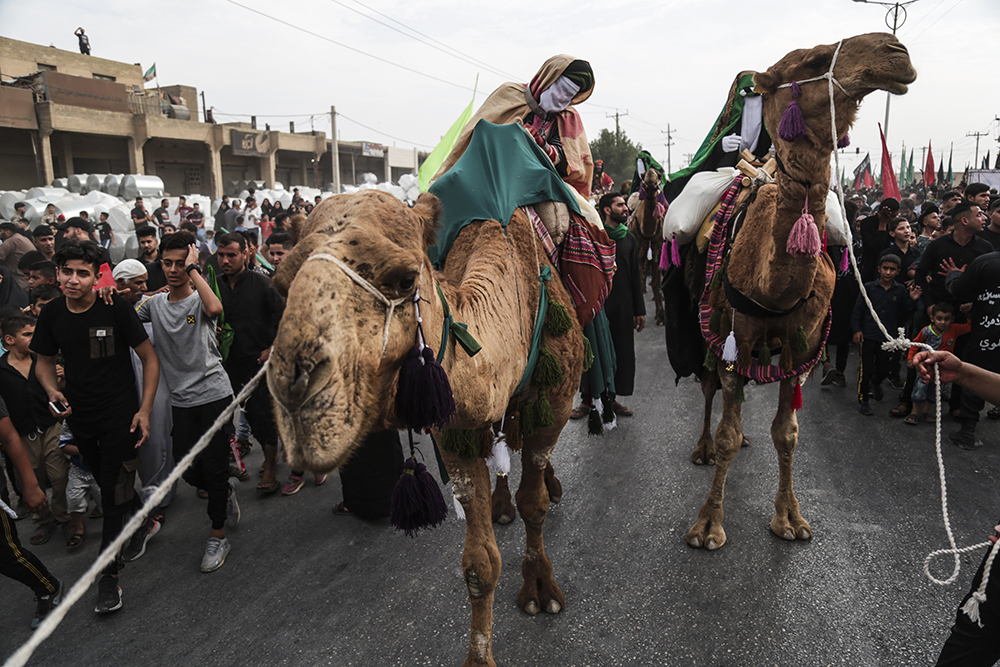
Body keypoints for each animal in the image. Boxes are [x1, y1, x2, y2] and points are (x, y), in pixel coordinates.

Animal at [266, 190, 584, 664]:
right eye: (281, 285)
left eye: (404, 280)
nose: (294, 390)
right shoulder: (455, 428)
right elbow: (479, 563)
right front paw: (479, 656)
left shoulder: (558, 400)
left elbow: (535, 505)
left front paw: (540, 590)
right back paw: (500, 503)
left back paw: (548, 485)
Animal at [680, 32, 916, 552]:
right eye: (813, 60)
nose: (896, 52)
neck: (773, 288)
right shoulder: (735, 335)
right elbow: (727, 431)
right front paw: (707, 525)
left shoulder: (803, 340)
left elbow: (786, 432)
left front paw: (790, 518)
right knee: (709, 390)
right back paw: (703, 448)